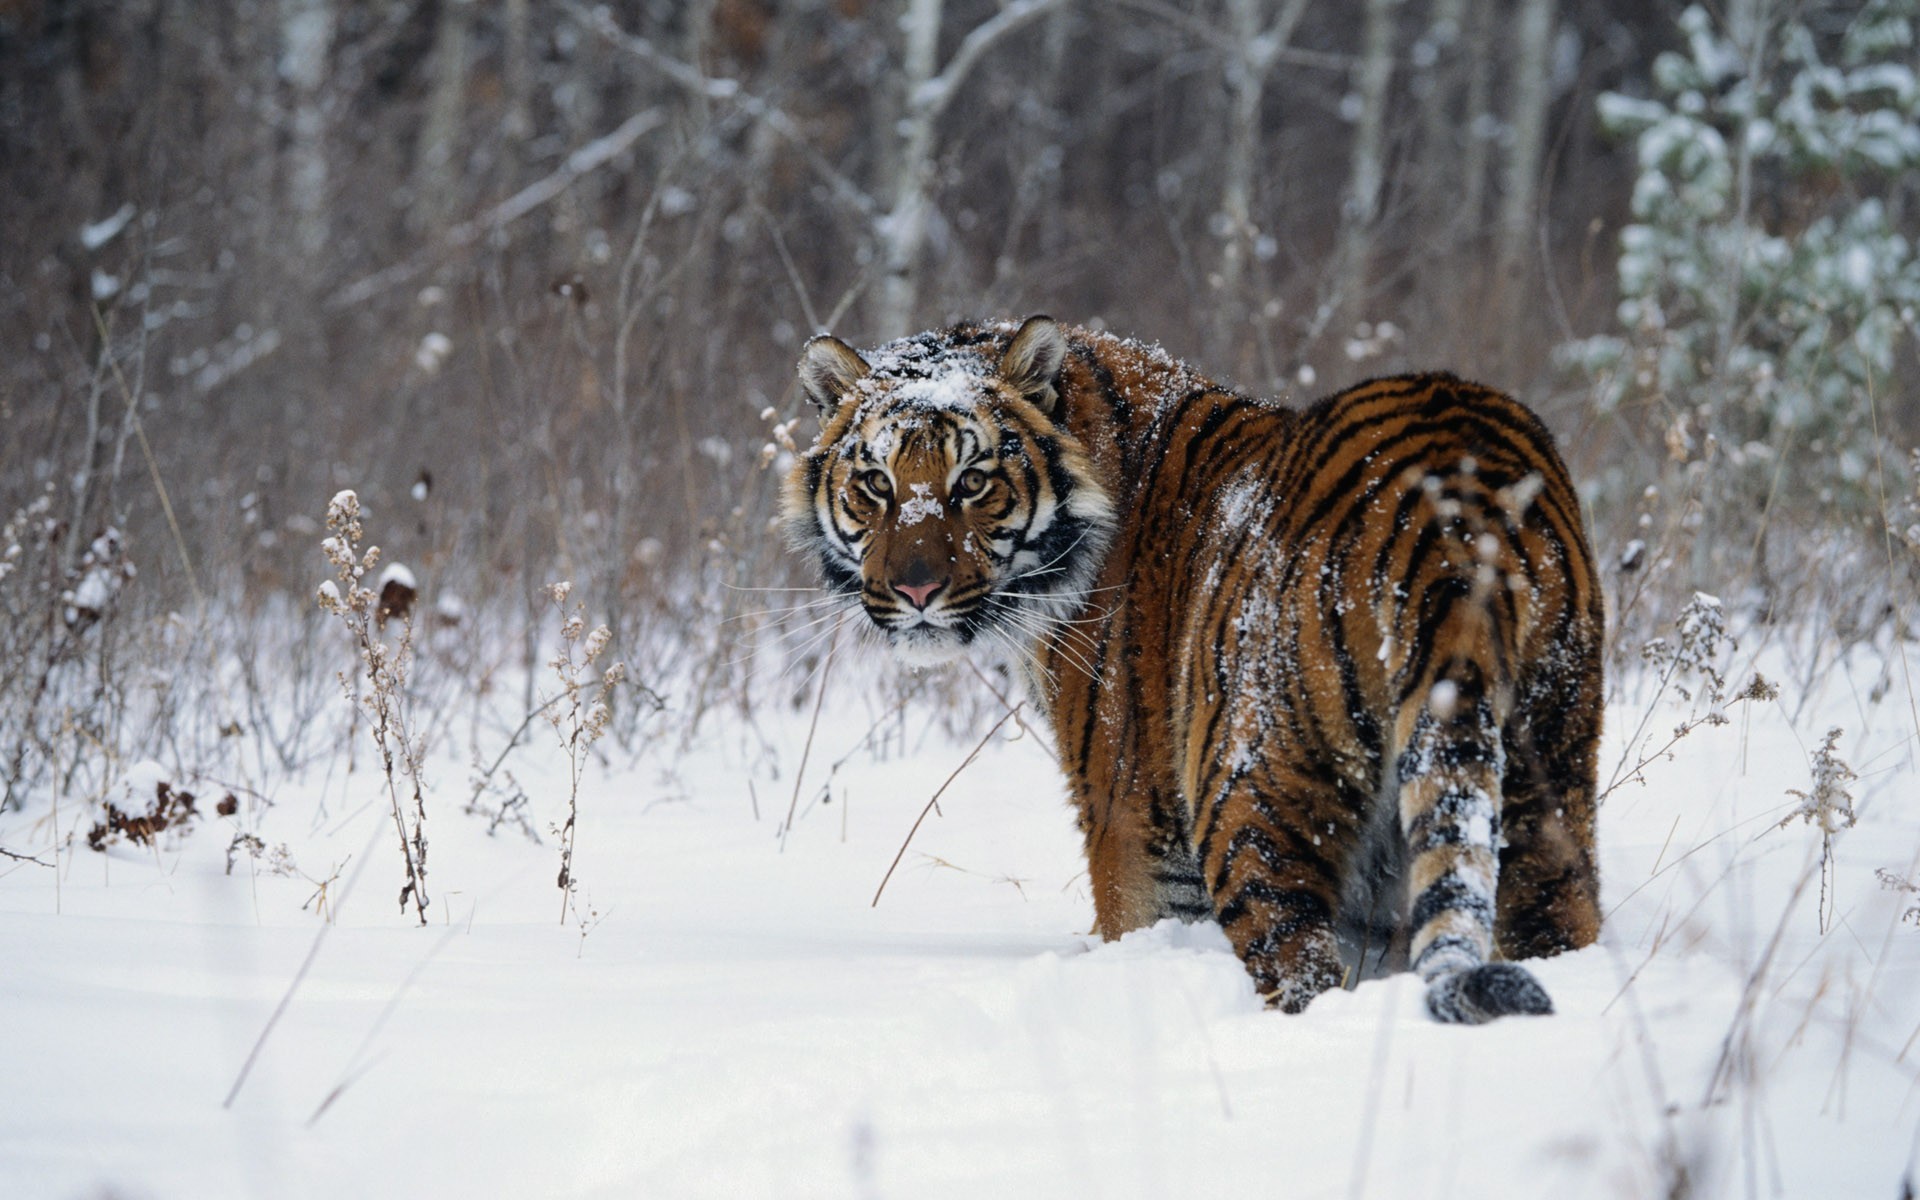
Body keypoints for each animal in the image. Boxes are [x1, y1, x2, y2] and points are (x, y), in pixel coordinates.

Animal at [784, 316, 1603, 1023]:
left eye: (974, 482)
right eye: (877, 484)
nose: (916, 591)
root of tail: (1454, 510)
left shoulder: (1131, 819)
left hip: (1250, 796)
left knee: (1300, 968)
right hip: (1548, 777)